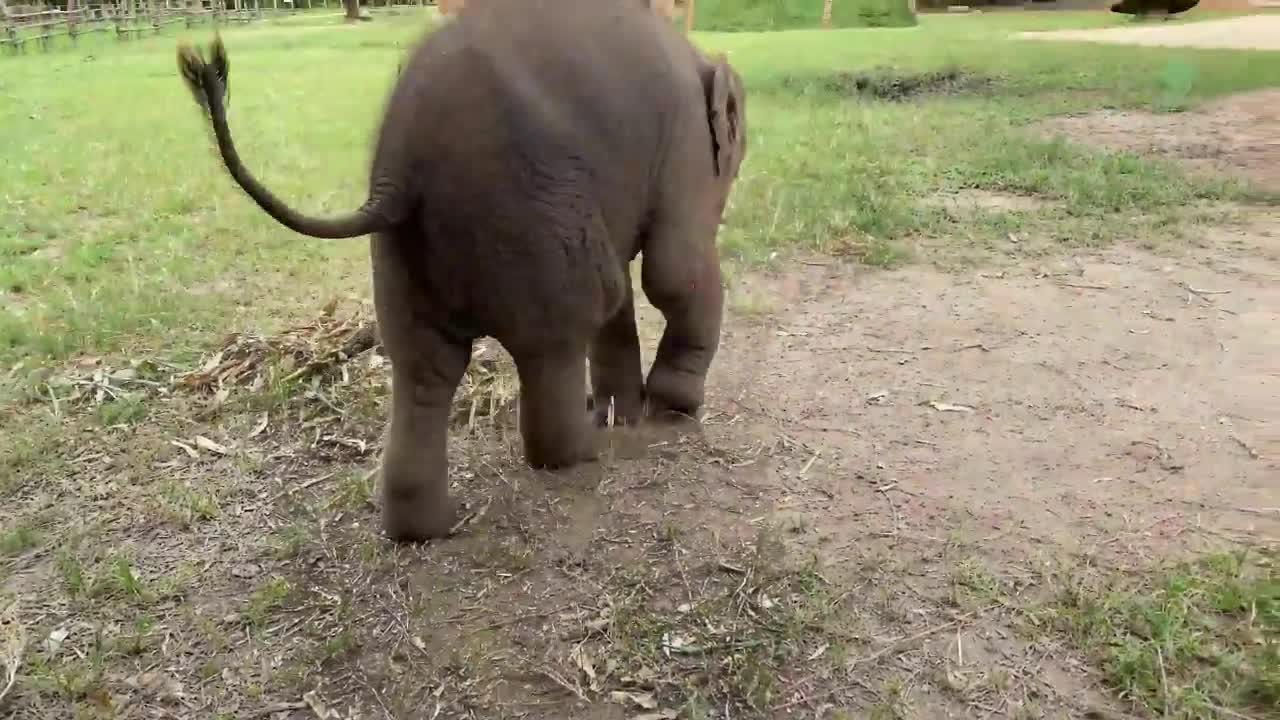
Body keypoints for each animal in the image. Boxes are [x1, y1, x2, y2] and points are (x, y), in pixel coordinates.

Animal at [175, 0, 747, 540]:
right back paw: (584, 447)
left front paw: (630, 414)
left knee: (424, 368)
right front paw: (672, 412)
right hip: (531, 219)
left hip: (404, 252)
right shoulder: (686, 143)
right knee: (559, 337)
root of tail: (397, 175)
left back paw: (426, 529)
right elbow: (671, 272)